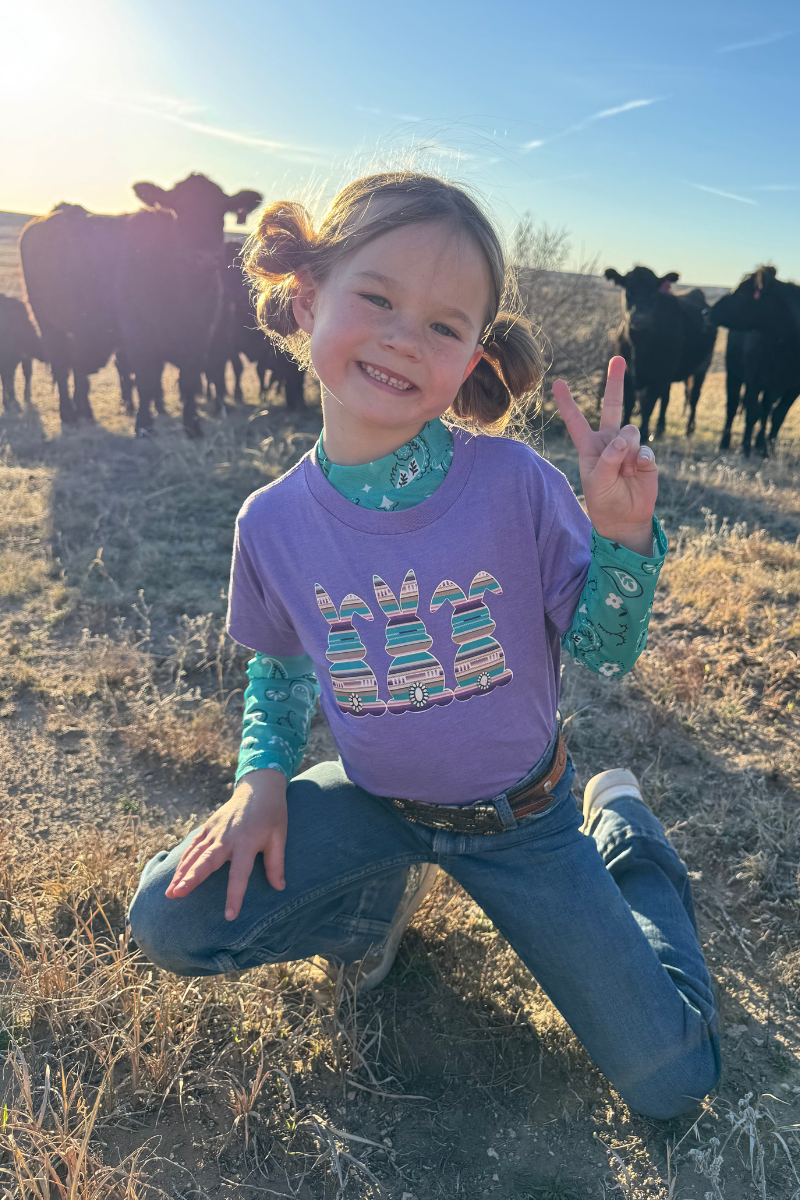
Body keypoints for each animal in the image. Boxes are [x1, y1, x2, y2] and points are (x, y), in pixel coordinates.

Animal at [20, 174, 262, 436]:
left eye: (222, 211)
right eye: (179, 210)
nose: (205, 257)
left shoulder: (202, 334)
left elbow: (190, 379)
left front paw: (193, 426)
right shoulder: (139, 334)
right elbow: (147, 379)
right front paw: (144, 425)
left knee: (78, 369)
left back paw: (86, 413)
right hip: (48, 324)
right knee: (62, 367)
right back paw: (68, 415)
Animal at [605, 266, 717, 443]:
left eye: (653, 293)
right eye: (628, 291)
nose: (640, 318)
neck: (639, 345)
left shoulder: (659, 376)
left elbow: (648, 404)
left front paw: (643, 434)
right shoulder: (628, 374)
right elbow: (629, 402)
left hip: (701, 369)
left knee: (693, 397)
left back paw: (688, 430)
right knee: (666, 399)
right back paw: (660, 429)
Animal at [709, 267, 800, 455]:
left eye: (742, 292)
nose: (707, 312)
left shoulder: (794, 388)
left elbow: (778, 415)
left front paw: (768, 449)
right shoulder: (754, 381)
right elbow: (752, 413)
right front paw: (745, 448)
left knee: (766, 410)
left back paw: (760, 444)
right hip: (733, 375)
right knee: (733, 406)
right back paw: (725, 443)